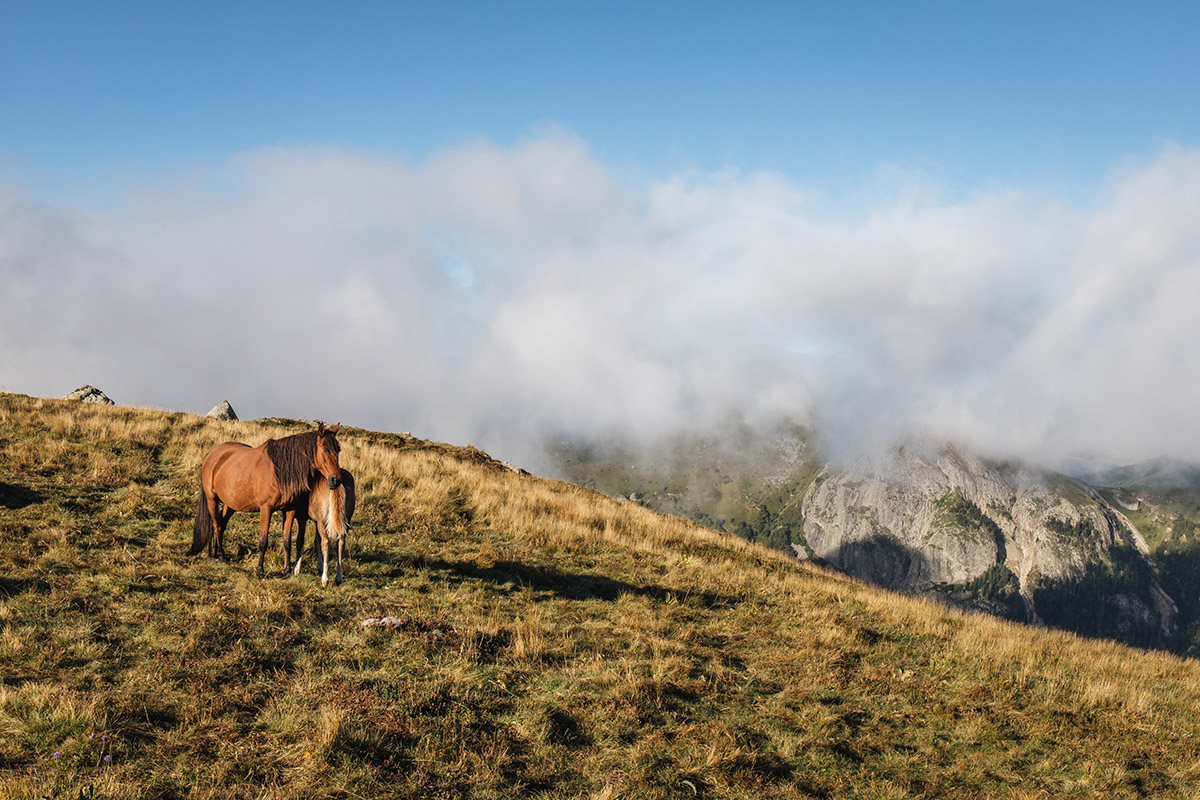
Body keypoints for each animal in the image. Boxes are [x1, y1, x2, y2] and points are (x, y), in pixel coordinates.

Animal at [192, 424, 343, 575]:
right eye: (325, 449)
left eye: (338, 449)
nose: (335, 480)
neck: (279, 471)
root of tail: (213, 454)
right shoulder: (266, 509)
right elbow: (263, 542)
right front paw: (260, 570)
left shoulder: (290, 510)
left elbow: (287, 541)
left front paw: (287, 570)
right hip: (212, 499)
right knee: (217, 525)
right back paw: (221, 556)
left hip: (230, 505)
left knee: (222, 525)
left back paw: (218, 554)